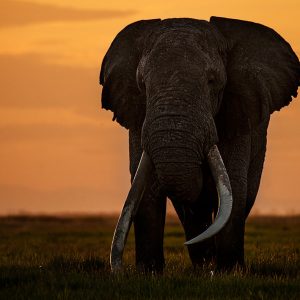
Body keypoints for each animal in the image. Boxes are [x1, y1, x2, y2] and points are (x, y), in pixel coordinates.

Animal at [99, 17, 298, 274]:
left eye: (212, 82)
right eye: (142, 85)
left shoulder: (239, 109)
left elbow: (234, 182)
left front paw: (229, 272)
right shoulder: (137, 116)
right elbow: (145, 187)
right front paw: (148, 273)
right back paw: (202, 264)